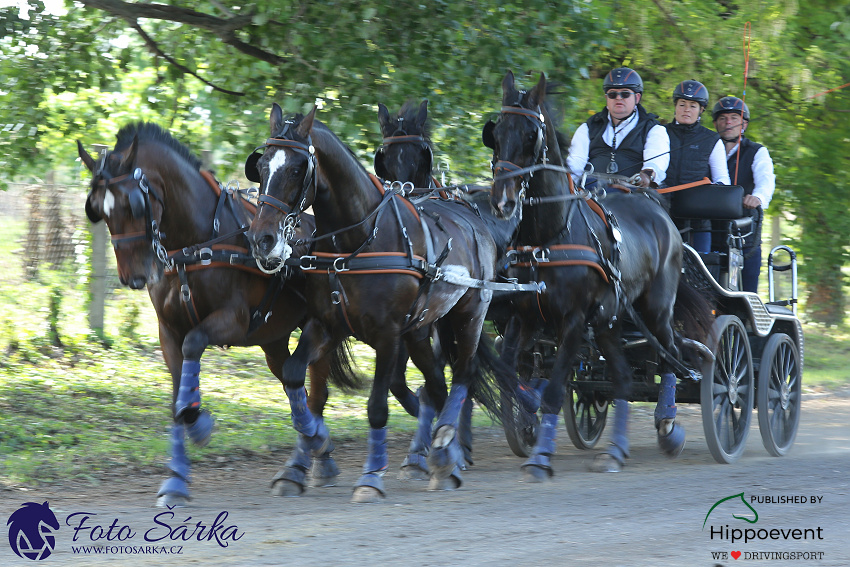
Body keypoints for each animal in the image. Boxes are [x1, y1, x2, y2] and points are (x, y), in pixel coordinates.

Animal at [77, 124, 362, 506]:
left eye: (133, 204)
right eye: (99, 210)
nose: (133, 277)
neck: (196, 245)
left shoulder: (233, 321)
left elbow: (195, 344)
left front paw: (199, 424)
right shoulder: (168, 331)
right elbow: (176, 397)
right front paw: (175, 480)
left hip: (319, 327)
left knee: (315, 390)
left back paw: (312, 454)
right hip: (273, 338)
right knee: (295, 383)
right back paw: (317, 455)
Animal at [245, 102, 516, 502]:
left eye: (297, 168)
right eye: (262, 167)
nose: (262, 239)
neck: (358, 240)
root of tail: (473, 217)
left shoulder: (388, 336)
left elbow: (376, 407)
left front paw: (371, 477)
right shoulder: (326, 325)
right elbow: (297, 379)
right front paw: (311, 446)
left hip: (469, 314)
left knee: (463, 373)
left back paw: (444, 441)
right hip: (420, 329)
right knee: (436, 386)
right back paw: (439, 453)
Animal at [484, 72, 708, 480]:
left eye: (531, 135)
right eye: (498, 130)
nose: (503, 200)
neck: (550, 236)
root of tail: (660, 214)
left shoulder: (572, 322)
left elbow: (554, 389)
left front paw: (540, 456)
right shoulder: (526, 318)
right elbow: (511, 372)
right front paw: (528, 422)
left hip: (655, 311)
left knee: (670, 354)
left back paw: (668, 426)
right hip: (608, 322)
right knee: (622, 376)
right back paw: (615, 450)